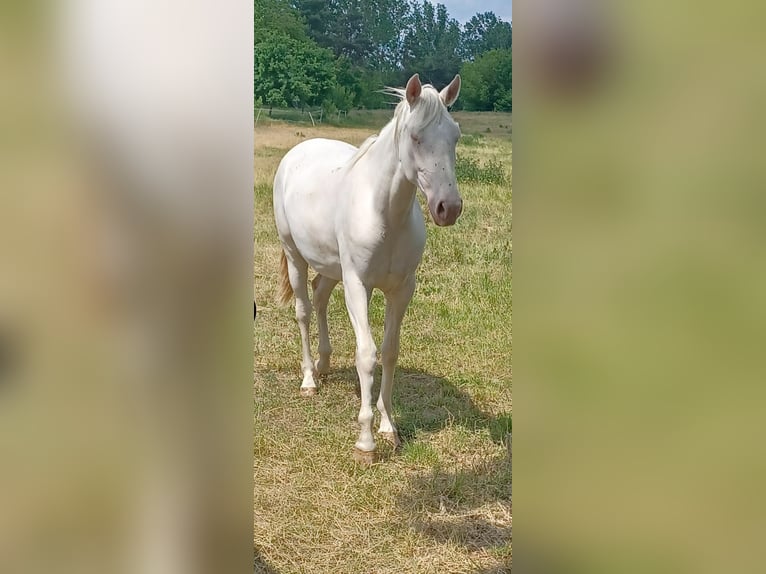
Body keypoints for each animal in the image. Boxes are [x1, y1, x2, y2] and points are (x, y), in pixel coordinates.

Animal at [273, 73, 463, 463]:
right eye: (415, 137)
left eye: (455, 136)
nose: (448, 208)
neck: (384, 213)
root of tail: (297, 152)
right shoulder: (358, 285)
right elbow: (367, 354)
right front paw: (365, 442)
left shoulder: (401, 289)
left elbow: (390, 352)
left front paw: (389, 427)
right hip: (295, 256)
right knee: (303, 311)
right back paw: (309, 380)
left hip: (332, 270)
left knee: (319, 297)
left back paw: (324, 366)